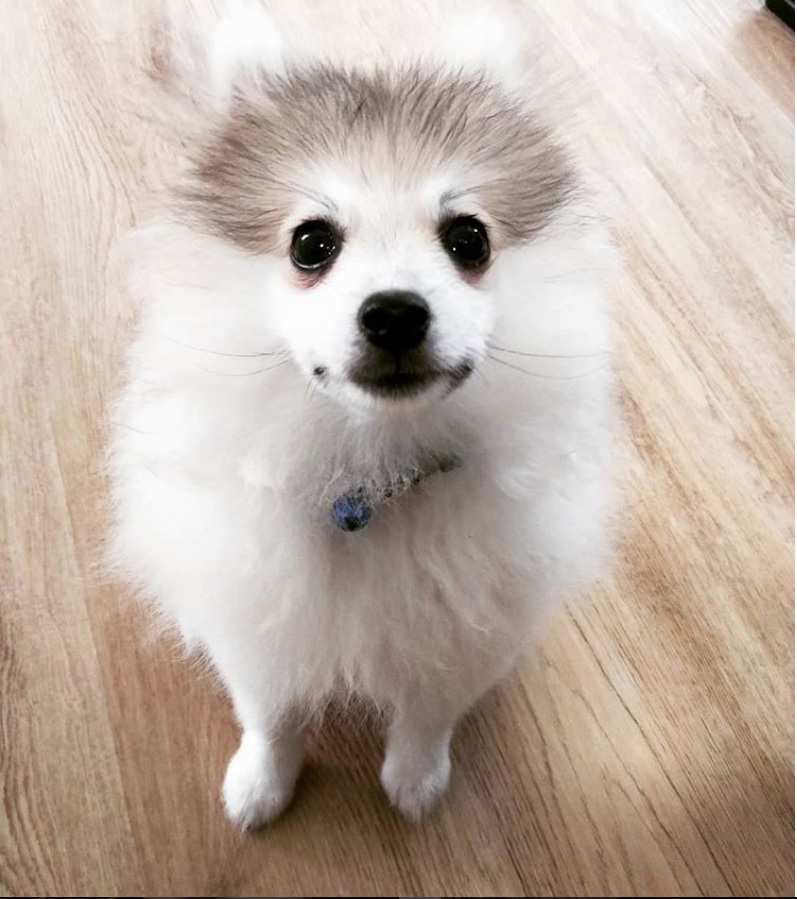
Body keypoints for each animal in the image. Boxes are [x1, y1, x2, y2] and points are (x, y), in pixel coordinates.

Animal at [107, 0, 616, 828]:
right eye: (311, 243)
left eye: (467, 238)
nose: (395, 313)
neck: (372, 469)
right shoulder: (259, 613)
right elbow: (269, 713)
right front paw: (261, 783)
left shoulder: (460, 631)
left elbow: (427, 713)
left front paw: (415, 779)